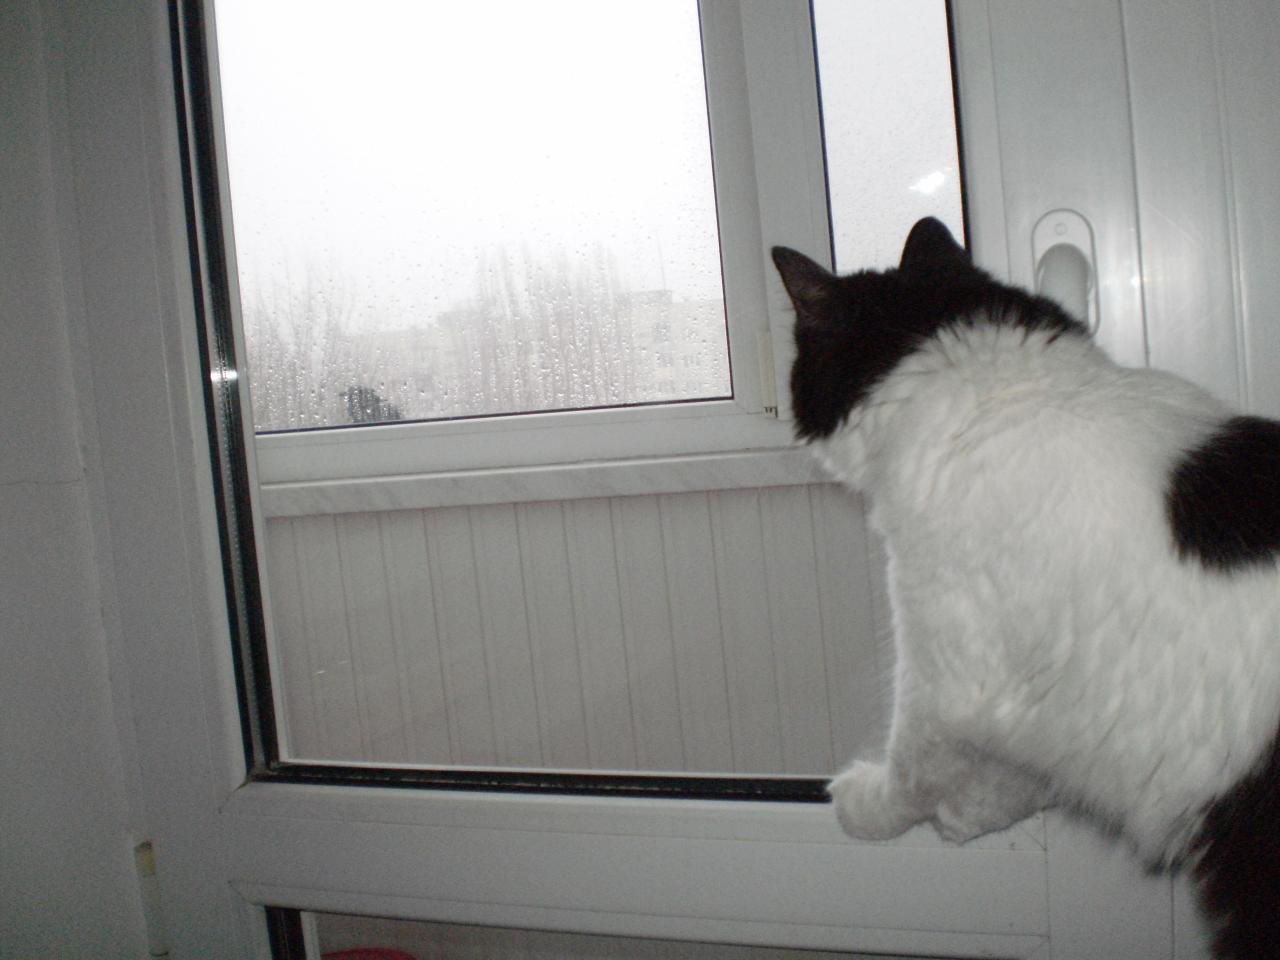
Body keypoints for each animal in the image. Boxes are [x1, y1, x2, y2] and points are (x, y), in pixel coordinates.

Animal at [772, 218, 1280, 960]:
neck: (998, 392)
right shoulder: (1067, 699)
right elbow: (1024, 774)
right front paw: (971, 816)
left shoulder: (943, 673)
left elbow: (913, 767)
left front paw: (871, 808)